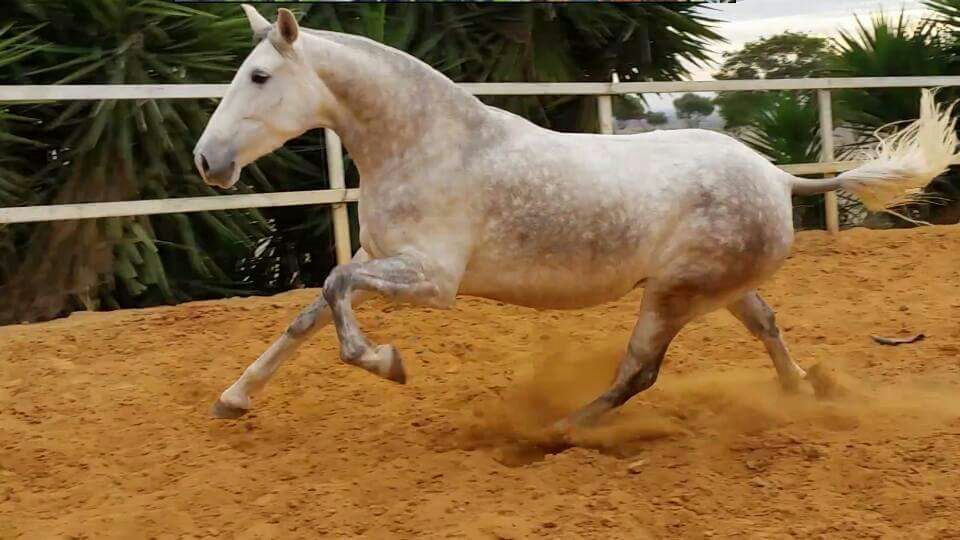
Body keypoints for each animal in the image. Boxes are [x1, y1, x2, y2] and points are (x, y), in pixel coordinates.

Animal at [195, 6, 960, 430]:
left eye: (259, 77)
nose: (207, 160)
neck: (428, 144)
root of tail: (775, 176)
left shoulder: (431, 281)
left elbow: (333, 293)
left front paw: (386, 363)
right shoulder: (379, 258)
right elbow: (309, 311)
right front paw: (233, 399)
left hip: (673, 295)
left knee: (639, 373)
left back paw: (556, 431)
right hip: (718, 289)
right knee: (766, 325)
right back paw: (801, 394)